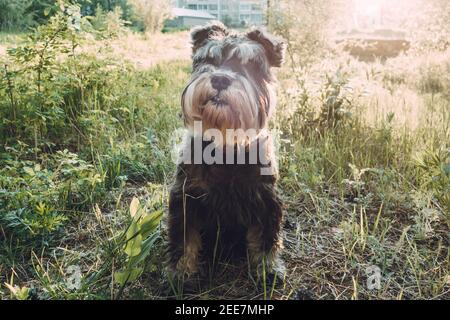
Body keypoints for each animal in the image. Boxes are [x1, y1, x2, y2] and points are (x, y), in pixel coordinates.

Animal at [167, 21, 286, 278]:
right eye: (207, 59)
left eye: (250, 64)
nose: (220, 79)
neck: (226, 145)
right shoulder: (186, 197)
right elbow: (184, 237)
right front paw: (181, 270)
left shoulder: (265, 198)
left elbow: (266, 236)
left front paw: (268, 267)